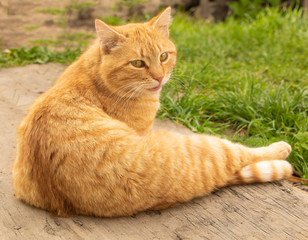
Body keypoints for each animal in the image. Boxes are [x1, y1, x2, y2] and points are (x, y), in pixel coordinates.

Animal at [12, 7, 292, 218]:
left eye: (164, 56)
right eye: (138, 63)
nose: (159, 77)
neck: (96, 76)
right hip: (204, 146)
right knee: (240, 154)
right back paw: (281, 151)